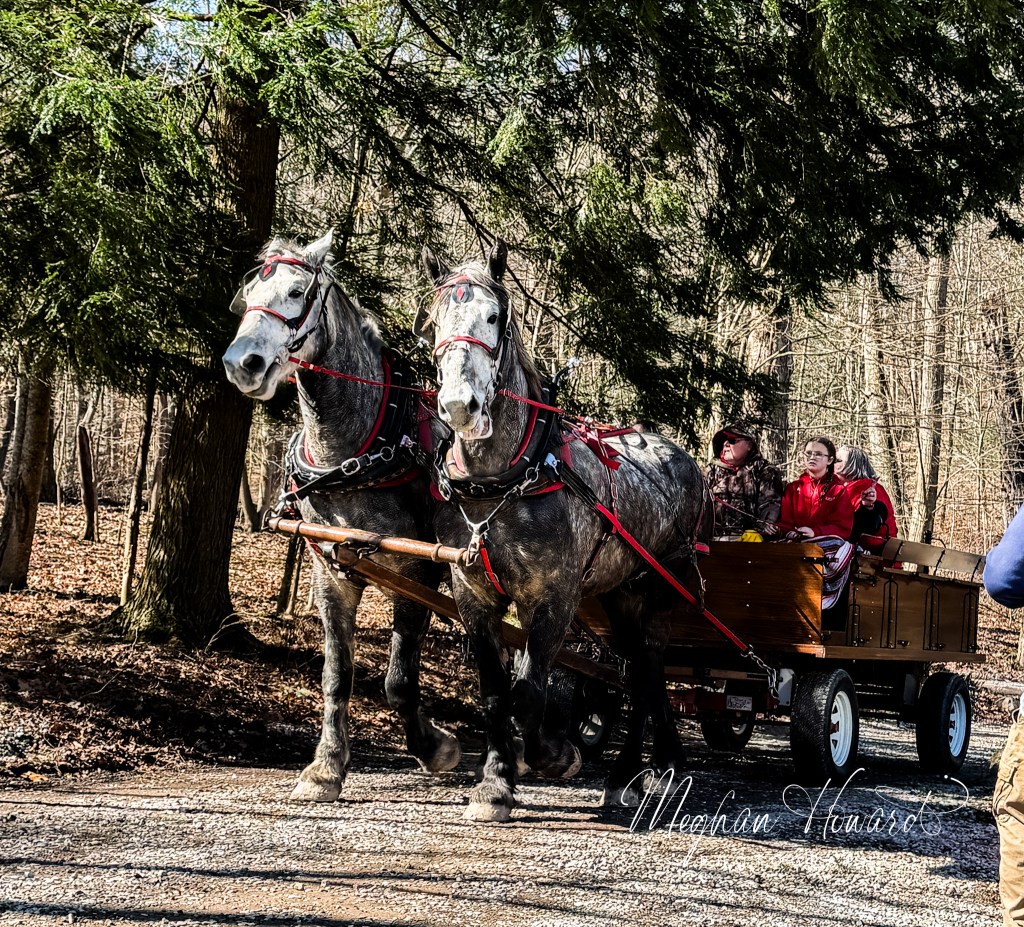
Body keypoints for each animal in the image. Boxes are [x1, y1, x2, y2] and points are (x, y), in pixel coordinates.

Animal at [223, 231, 460, 801]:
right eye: (248, 294)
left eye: (296, 292)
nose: (242, 363)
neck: (354, 453)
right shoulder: (332, 570)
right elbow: (337, 674)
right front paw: (327, 766)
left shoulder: (414, 571)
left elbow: (399, 680)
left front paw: (435, 748)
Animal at [416, 240, 712, 822]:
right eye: (436, 321)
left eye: (494, 317)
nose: (460, 405)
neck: (504, 481)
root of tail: (682, 457)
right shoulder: (472, 593)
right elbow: (495, 692)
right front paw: (495, 782)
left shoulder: (554, 596)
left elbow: (530, 693)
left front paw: (552, 756)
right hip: (619, 595)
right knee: (635, 672)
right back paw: (638, 771)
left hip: (660, 588)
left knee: (647, 671)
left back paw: (634, 772)